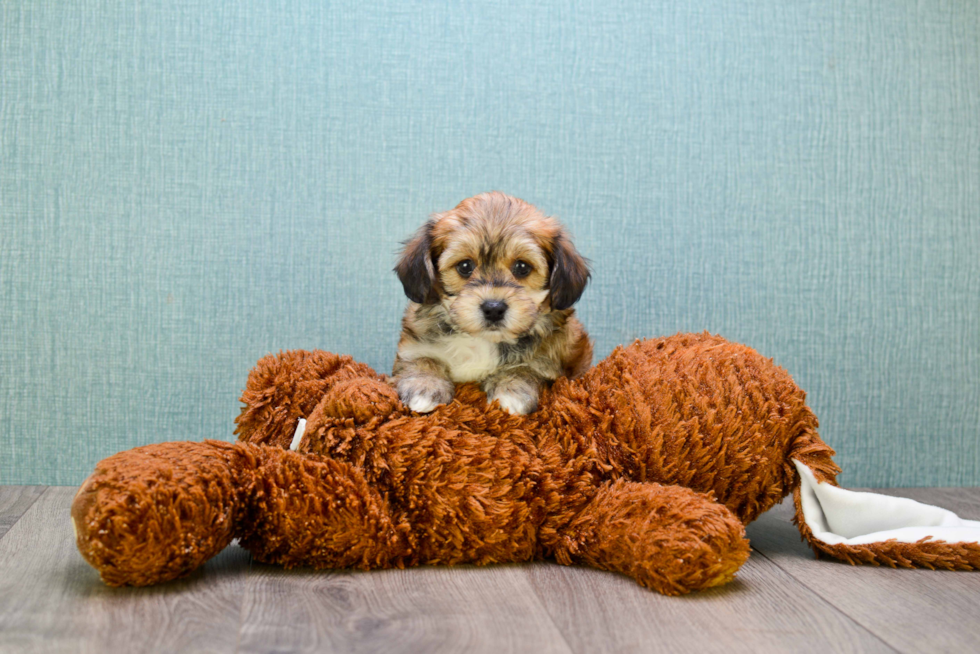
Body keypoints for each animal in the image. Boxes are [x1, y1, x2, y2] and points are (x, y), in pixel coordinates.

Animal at [390, 191, 588, 416]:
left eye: (522, 267)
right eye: (465, 266)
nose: (494, 309)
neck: (482, 340)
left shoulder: (549, 360)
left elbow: (526, 368)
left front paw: (512, 390)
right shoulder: (414, 343)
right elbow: (422, 358)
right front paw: (424, 387)